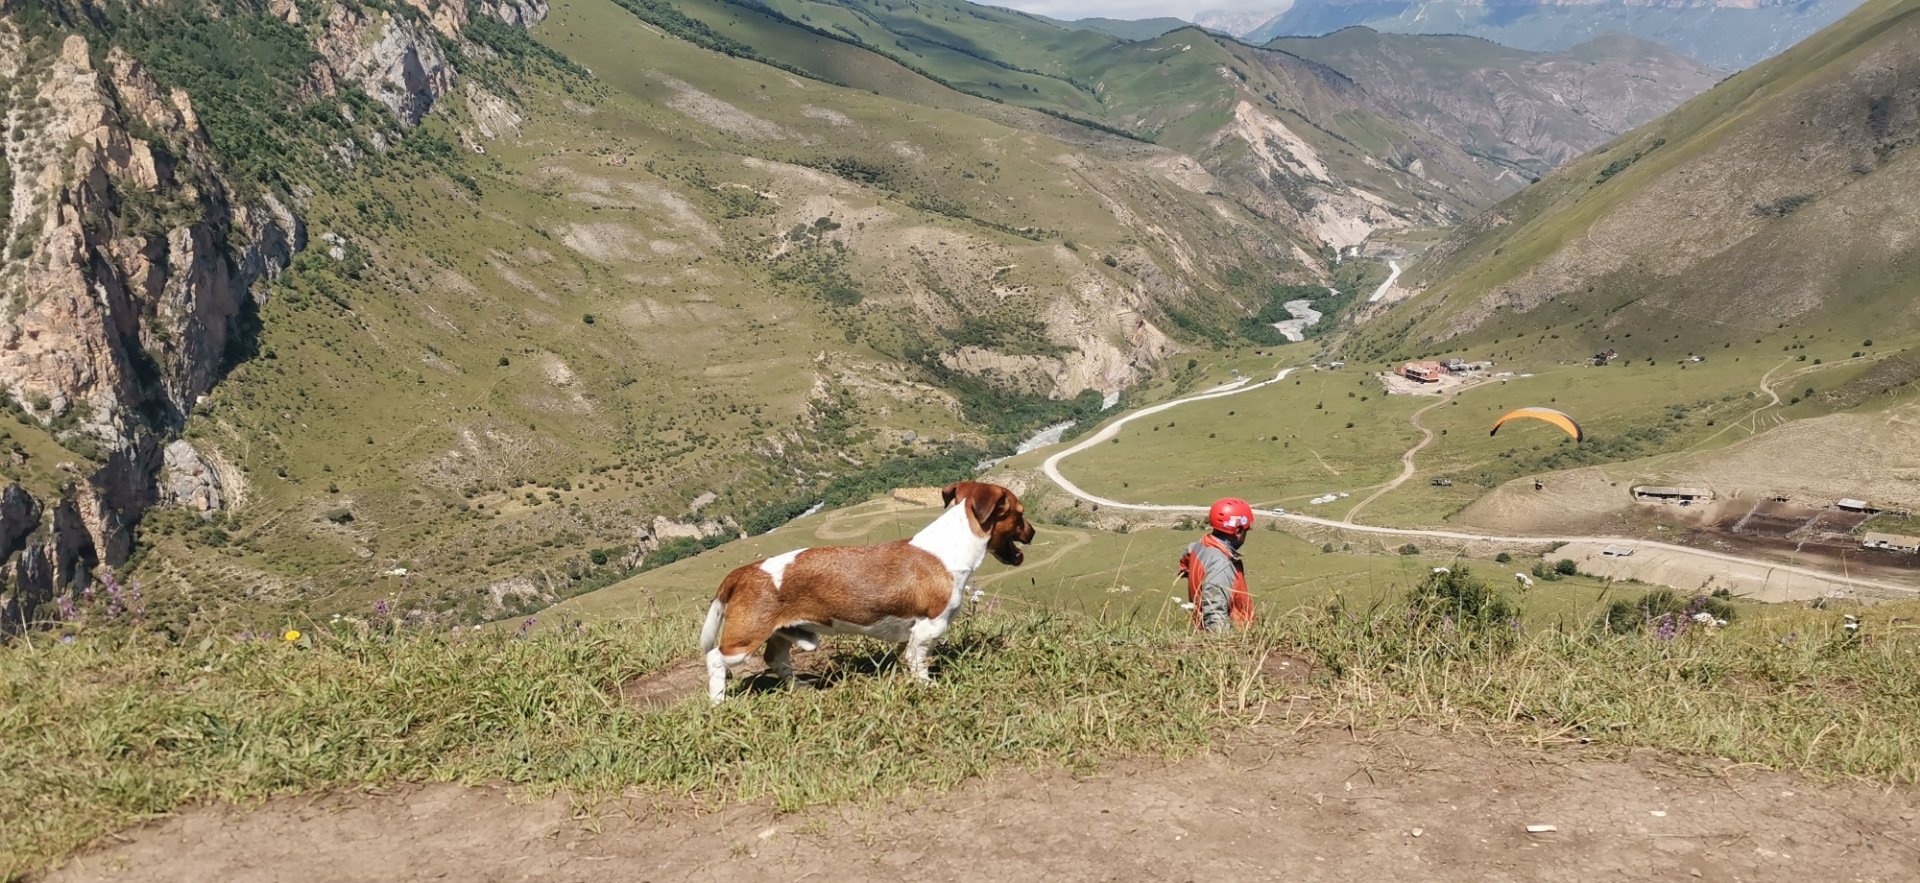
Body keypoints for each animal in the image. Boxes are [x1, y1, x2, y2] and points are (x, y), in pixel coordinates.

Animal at [702, 483, 1036, 702]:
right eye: (1020, 513)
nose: (1033, 532)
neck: (950, 545)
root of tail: (741, 573)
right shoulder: (928, 628)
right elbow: (918, 662)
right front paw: (927, 687)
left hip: (785, 633)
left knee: (776, 658)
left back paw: (799, 688)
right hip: (744, 639)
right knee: (716, 658)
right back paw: (718, 701)